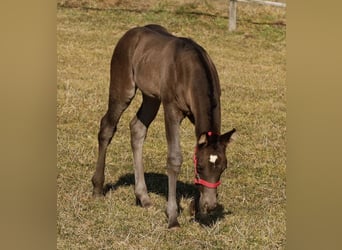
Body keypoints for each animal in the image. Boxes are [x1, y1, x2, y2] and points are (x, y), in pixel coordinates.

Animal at [91, 23, 236, 229]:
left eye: (223, 167)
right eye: (200, 168)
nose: (210, 204)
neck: (192, 69)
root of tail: (130, 33)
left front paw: (197, 209)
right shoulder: (172, 109)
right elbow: (174, 158)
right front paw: (173, 217)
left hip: (151, 97)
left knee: (137, 128)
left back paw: (143, 197)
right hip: (123, 88)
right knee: (107, 127)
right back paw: (97, 188)